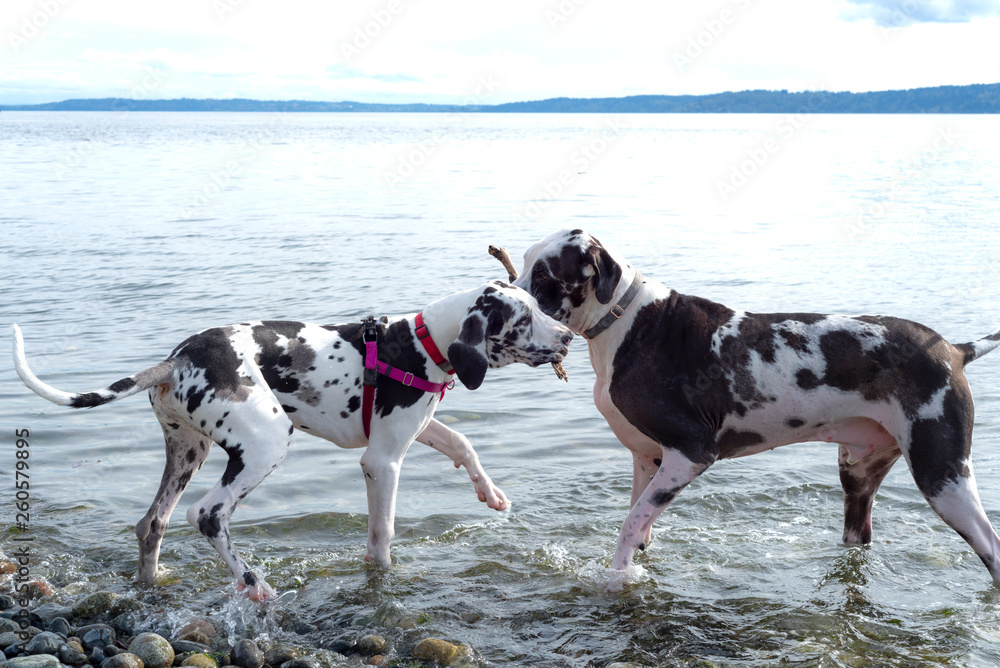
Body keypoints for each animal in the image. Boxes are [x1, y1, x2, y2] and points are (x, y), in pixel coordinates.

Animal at [13, 280, 572, 604]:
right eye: (523, 320)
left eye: (537, 308)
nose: (568, 337)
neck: (419, 342)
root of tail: (178, 357)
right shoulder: (382, 461)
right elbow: (382, 537)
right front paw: (381, 578)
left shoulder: (414, 428)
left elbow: (461, 443)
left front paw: (490, 493)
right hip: (265, 445)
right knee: (206, 515)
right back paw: (255, 585)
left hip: (188, 452)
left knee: (153, 523)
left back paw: (154, 584)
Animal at [512, 228, 1000, 588]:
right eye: (522, 264)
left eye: (544, 275)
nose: (506, 295)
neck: (627, 322)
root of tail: (954, 350)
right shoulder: (646, 459)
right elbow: (640, 527)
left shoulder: (690, 454)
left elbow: (629, 527)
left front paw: (616, 577)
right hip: (858, 477)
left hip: (943, 479)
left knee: (991, 547)